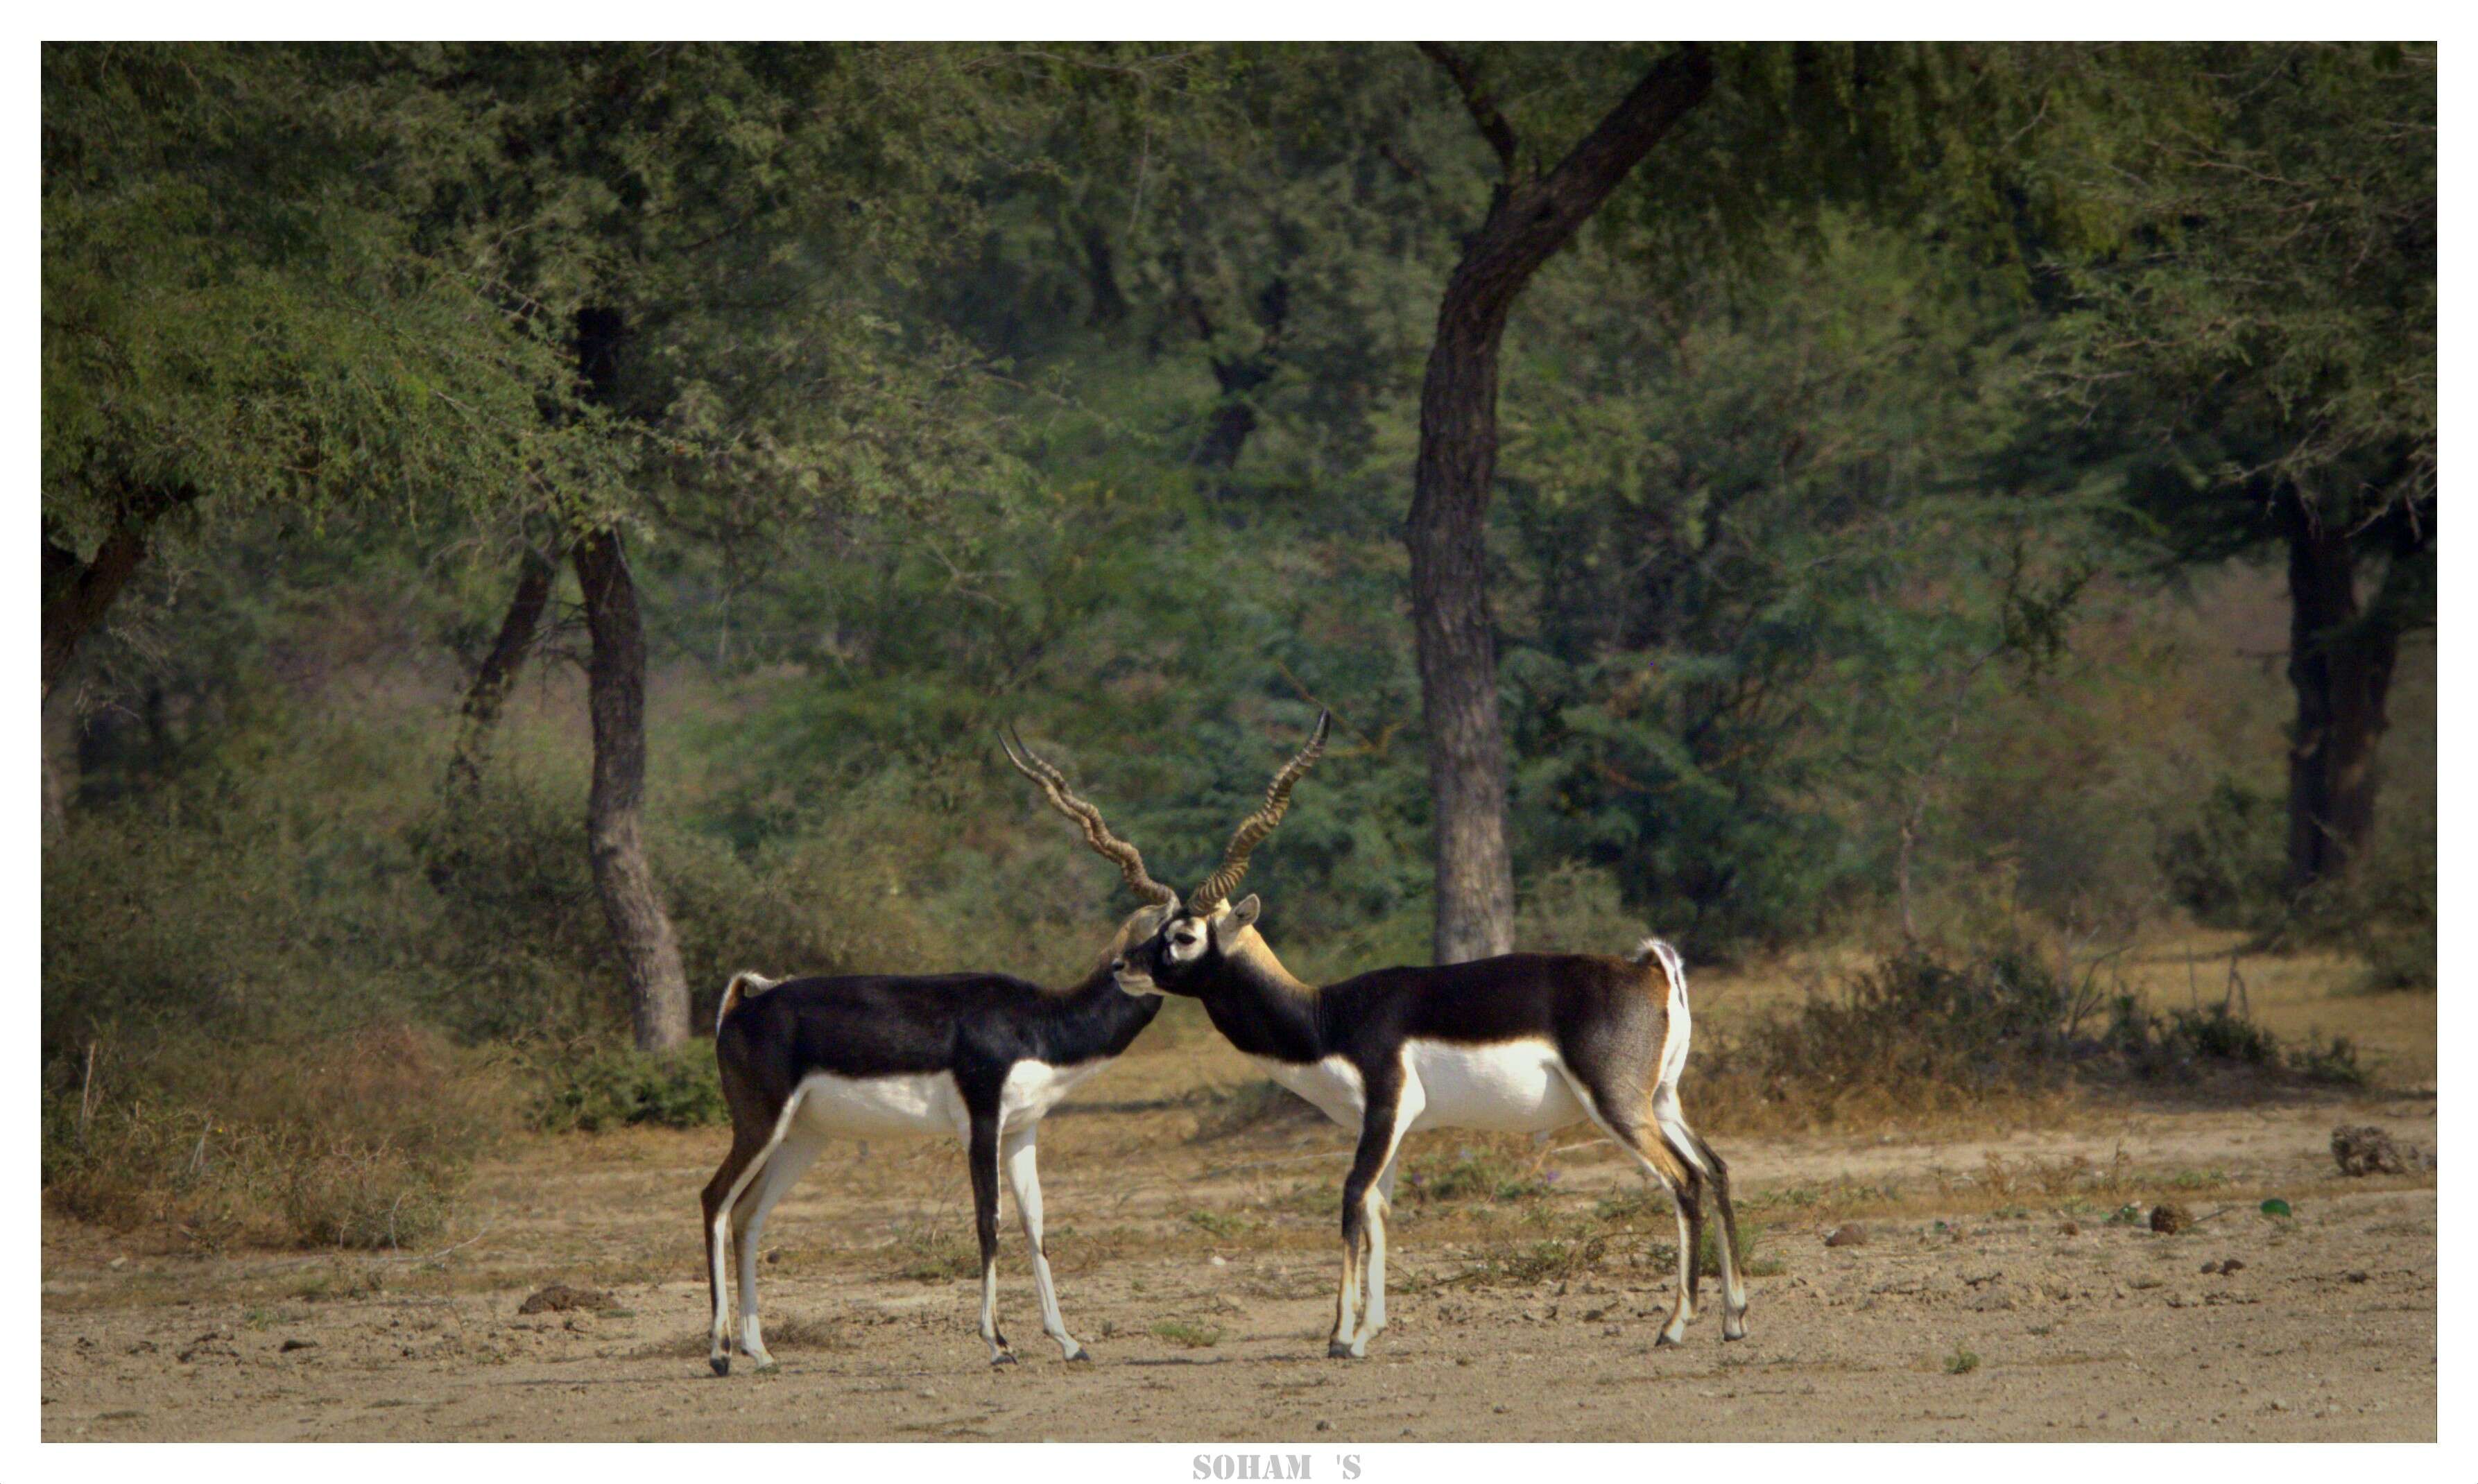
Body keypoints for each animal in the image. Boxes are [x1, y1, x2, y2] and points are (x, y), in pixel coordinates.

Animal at [708, 738, 1179, 1377]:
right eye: (1178, 929)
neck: (1038, 1020)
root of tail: (742, 1005)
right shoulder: (981, 1124)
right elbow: (989, 1220)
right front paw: (998, 1343)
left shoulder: (1022, 1130)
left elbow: (1035, 1223)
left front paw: (1068, 1340)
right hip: (758, 1124)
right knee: (714, 1202)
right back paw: (719, 1352)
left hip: (801, 1138)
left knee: (748, 1216)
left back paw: (760, 1352)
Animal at [1115, 718, 1754, 1357]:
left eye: (1183, 936)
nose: (1123, 966)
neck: (1326, 1017)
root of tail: (1651, 968)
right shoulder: (1387, 1126)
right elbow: (1379, 1210)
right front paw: (1368, 1331)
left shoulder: (1385, 1109)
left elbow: (1351, 1197)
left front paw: (1340, 1337)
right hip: (1662, 1099)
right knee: (1717, 1169)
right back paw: (1734, 1317)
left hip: (1617, 1104)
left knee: (1684, 1180)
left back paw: (1673, 1325)